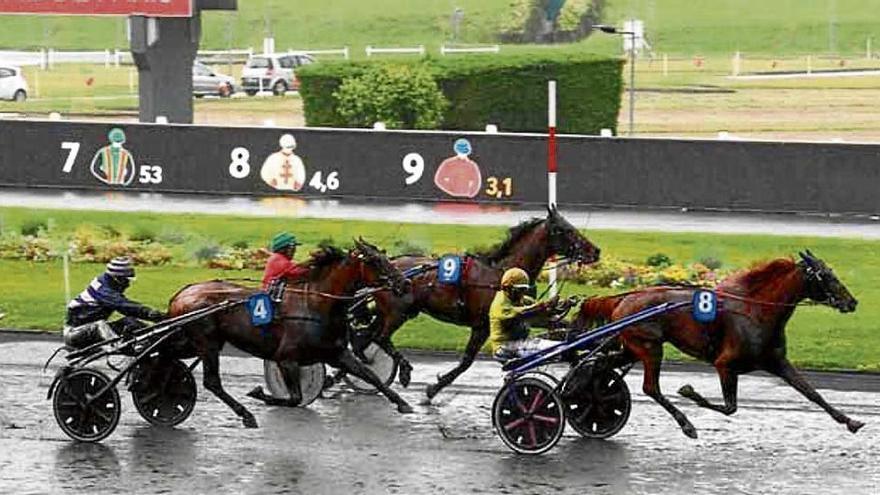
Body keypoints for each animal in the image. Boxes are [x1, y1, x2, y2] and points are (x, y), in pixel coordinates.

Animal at [166, 238, 412, 428]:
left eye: (385, 256)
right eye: (375, 261)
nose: (406, 283)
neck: (316, 305)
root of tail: (182, 294)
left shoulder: (337, 353)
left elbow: (370, 375)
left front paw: (403, 403)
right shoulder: (286, 359)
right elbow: (294, 398)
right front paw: (260, 393)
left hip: (192, 342)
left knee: (168, 358)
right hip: (207, 342)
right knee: (212, 382)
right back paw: (246, 414)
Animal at [362, 207, 600, 402]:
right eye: (565, 230)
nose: (595, 251)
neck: (502, 275)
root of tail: (389, 265)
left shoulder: (525, 314)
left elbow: (562, 325)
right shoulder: (483, 325)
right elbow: (466, 361)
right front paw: (432, 390)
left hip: (392, 313)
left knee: (367, 337)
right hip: (398, 313)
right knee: (380, 338)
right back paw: (400, 371)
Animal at [568, 252, 864, 438]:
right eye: (826, 276)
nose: (852, 302)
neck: (756, 311)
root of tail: (621, 299)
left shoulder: (777, 361)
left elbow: (812, 393)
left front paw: (851, 421)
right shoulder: (725, 364)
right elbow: (730, 407)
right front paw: (690, 392)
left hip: (632, 347)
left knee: (597, 363)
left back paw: (580, 393)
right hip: (650, 347)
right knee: (650, 387)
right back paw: (686, 425)